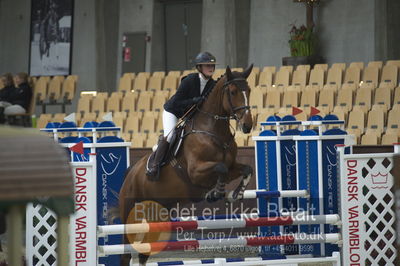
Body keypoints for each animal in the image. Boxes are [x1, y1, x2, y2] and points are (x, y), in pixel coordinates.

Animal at [119, 65, 255, 266]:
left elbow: (246, 169)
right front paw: (215, 193)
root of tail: (130, 173)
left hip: (156, 215)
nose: (247, 126)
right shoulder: (195, 171)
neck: (213, 130)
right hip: (130, 213)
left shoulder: (232, 167)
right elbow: (220, 168)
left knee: (144, 252)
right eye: (232, 92)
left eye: (249, 90)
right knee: (126, 252)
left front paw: (235, 194)